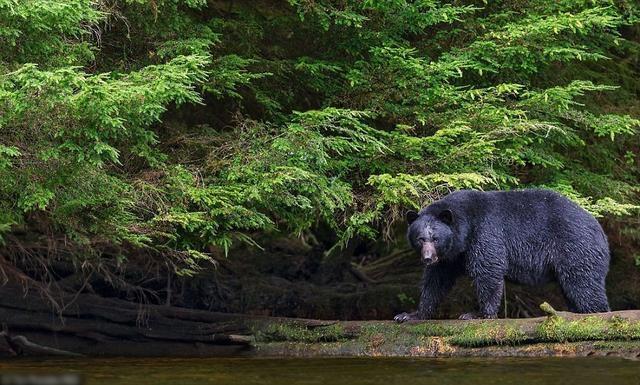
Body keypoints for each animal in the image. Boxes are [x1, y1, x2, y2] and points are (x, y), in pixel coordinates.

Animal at [396, 189, 608, 320]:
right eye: (420, 238)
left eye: (435, 238)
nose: (427, 258)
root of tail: (600, 230)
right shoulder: (451, 256)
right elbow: (436, 280)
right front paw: (411, 314)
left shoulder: (486, 232)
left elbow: (488, 269)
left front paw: (478, 314)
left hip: (575, 247)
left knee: (583, 284)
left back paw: (596, 312)